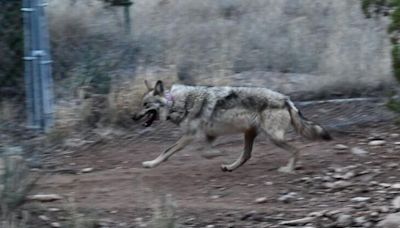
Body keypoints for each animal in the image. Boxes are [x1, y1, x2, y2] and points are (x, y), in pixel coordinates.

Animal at [132, 80, 332, 173]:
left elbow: (166, 151)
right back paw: (229, 167)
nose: (133, 117)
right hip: (250, 134)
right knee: (246, 155)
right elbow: (205, 151)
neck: (176, 102)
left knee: (296, 149)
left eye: (145, 105)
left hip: (273, 137)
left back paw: (288, 169)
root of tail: (286, 99)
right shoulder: (209, 135)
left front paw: (151, 163)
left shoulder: (190, 136)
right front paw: (215, 154)